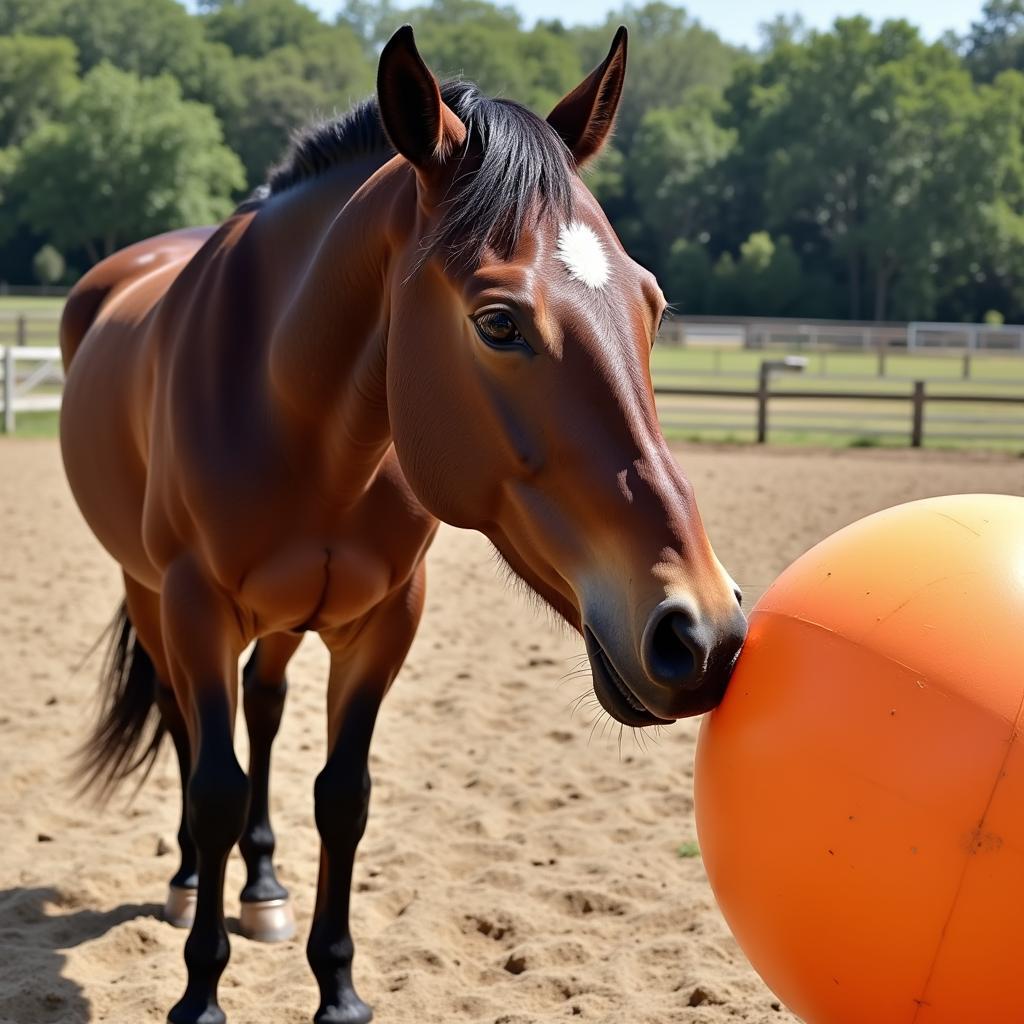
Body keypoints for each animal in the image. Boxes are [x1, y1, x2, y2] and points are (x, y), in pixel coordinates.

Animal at [59, 24, 749, 1024]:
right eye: (498, 323)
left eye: (652, 306)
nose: (703, 634)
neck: (287, 402)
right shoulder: (196, 608)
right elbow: (216, 785)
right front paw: (200, 993)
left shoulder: (385, 621)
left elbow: (342, 796)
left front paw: (338, 988)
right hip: (150, 595)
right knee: (191, 733)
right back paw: (194, 882)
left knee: (264, 708)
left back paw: (262, 888)